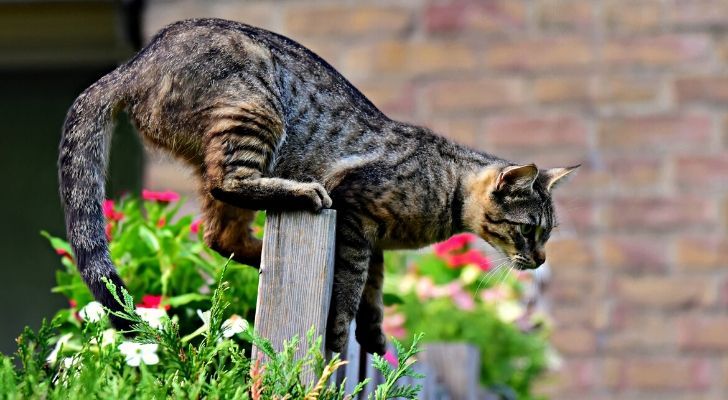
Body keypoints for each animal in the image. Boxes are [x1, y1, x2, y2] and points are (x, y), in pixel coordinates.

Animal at [59, 18, 576, 354]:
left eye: (546, 234)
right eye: (528, 230)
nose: (540, 259)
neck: (445, 188)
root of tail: (132, 64)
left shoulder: (374, 242)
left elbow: (374, 290)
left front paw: (374, 334)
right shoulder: (356, 216)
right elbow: (350, 288)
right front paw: (340, 334)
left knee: (219, 235)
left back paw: (262, 258)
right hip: (254, 111)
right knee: (230, 184)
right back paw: (303, 195)